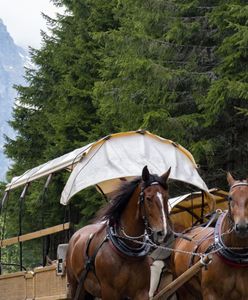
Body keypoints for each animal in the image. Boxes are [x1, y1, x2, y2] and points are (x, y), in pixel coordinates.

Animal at [66, 166, 171, 300]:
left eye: (166, 197)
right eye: (148, 198)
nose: (163, 233)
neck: (129, 253)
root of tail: (76, 235)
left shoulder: (141, 292)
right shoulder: (110, 292)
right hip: (75, 286)